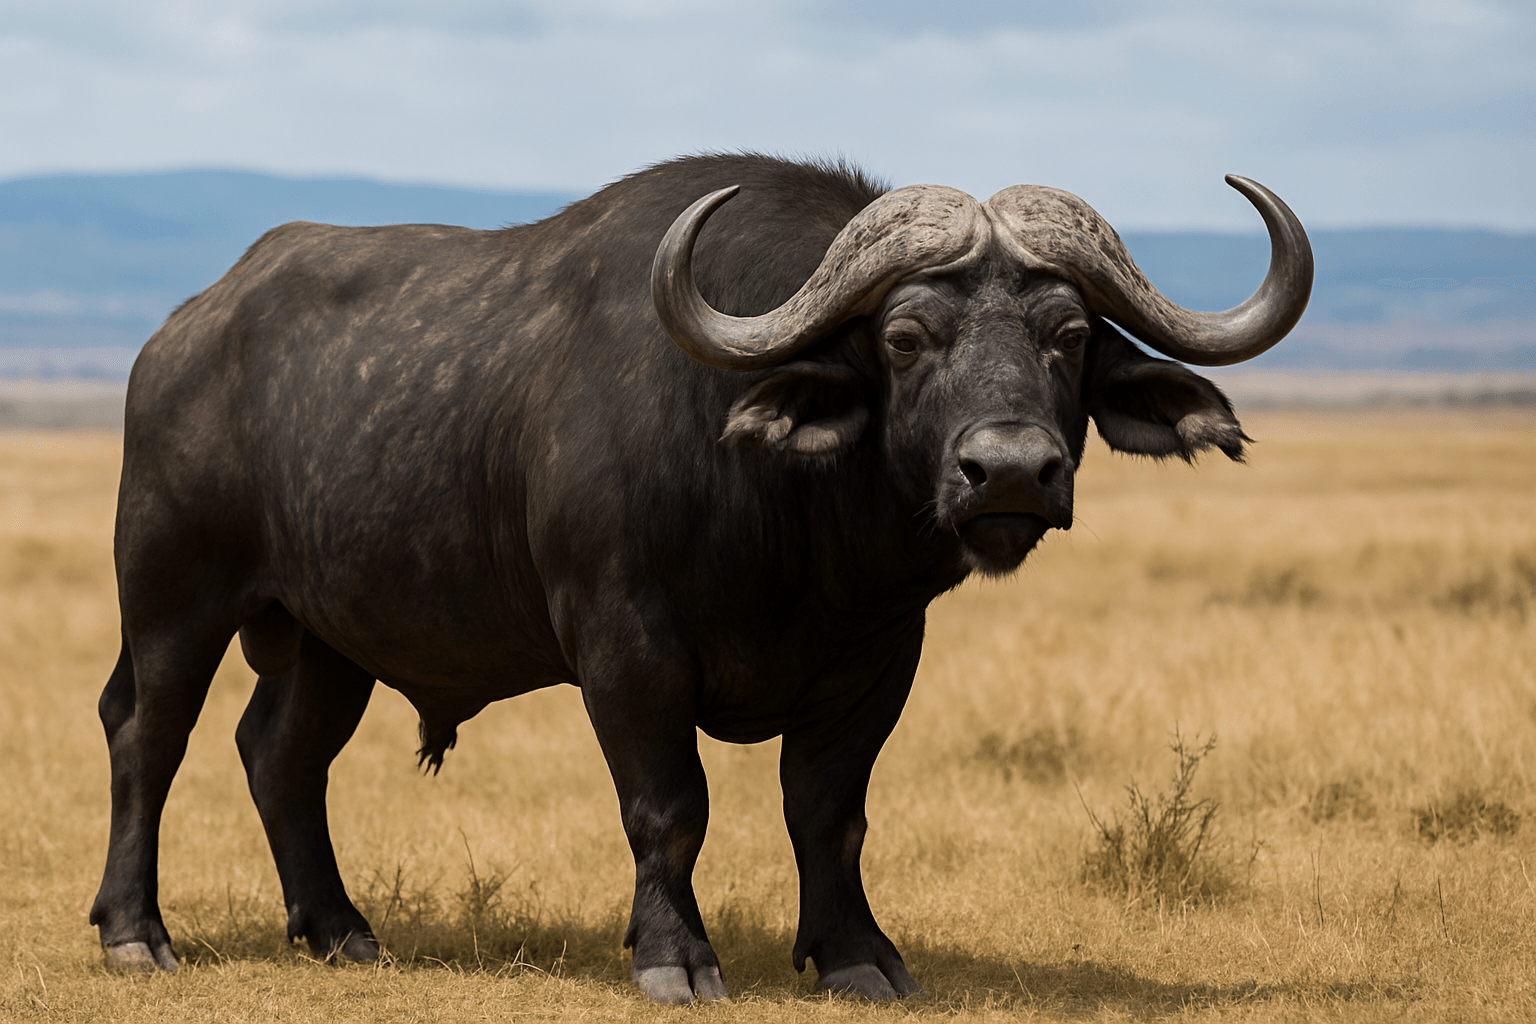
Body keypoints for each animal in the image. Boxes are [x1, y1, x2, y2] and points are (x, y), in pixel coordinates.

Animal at [91, 153, 1311, 1001]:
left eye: (1068, 334)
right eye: (906, 337)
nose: (1009, 470)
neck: (792, 526)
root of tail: (181, 333)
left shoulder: (879, 658)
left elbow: (829, 813)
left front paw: (857, 955)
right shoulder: (624, 644)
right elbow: (670, 805)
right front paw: (674, 955)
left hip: (331, 636)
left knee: (280, 755)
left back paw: (341, 929)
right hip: (174, 594)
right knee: (147, 735)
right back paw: (136, 932)